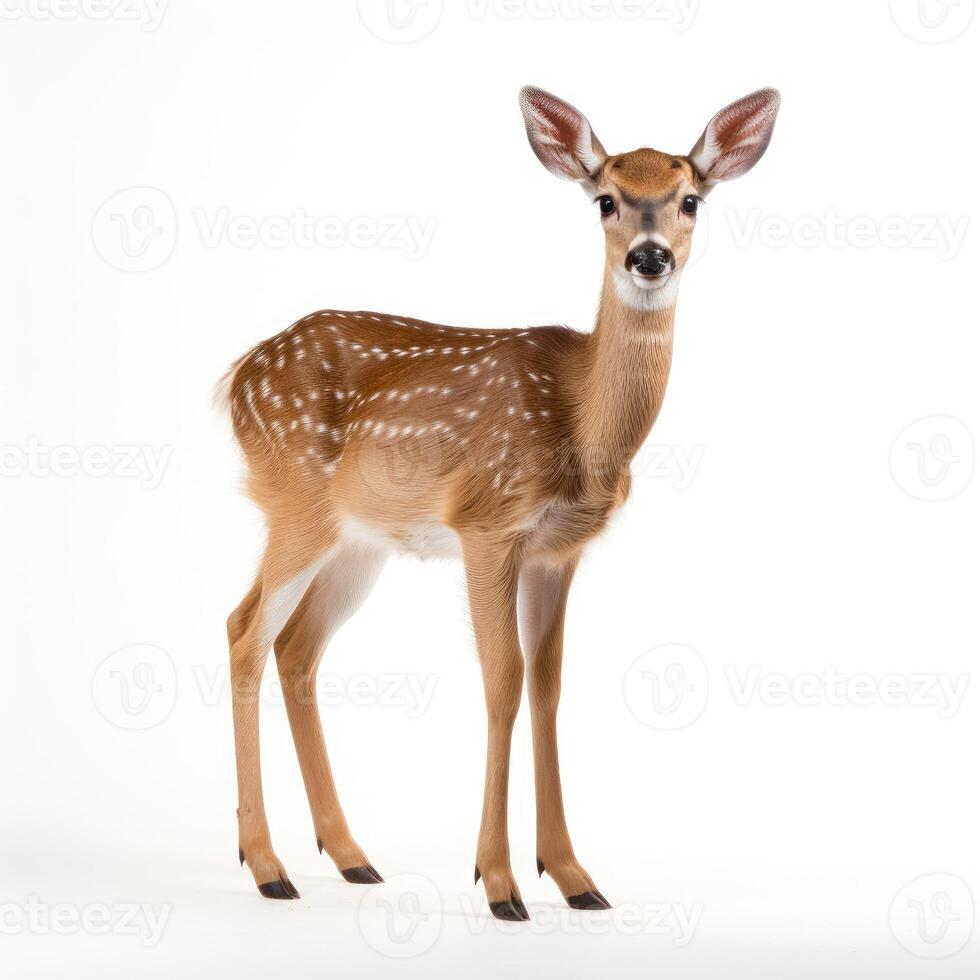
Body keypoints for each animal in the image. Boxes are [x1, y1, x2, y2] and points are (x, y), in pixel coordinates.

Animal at [220, 84, 780, 920]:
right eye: (606, 199)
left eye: (691, 200)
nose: (650, 256)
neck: (583, 422)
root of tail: (233, 378)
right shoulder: (486, 523)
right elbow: (502, 679)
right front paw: (500, 883)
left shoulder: (558, 549)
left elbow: (548, 684)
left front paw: (575, 877)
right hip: (294, 504)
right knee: (245, 632)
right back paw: (266, 865)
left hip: (359, 543)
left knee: (296, 648)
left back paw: (351, 857)